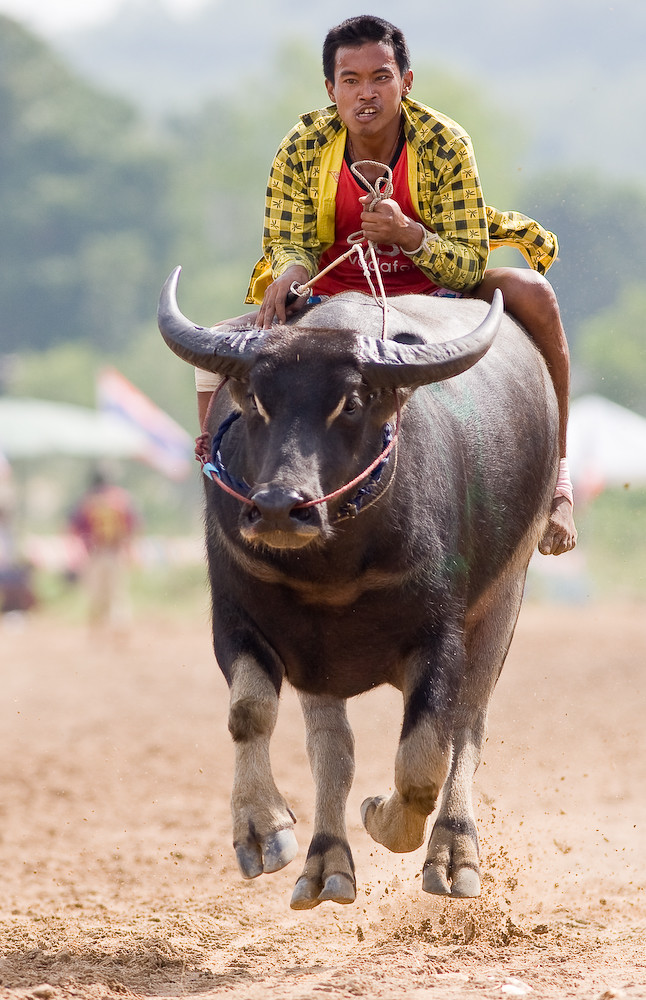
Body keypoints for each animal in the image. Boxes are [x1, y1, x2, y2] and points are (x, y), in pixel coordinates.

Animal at [158, 266, 558, 909]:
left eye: (349, 403)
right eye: (257, 402)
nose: (278, 506)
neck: (333, 570)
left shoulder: (440, 635)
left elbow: (422, 760)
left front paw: (383, 818)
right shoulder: (238, 618)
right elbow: (250, 714)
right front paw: (261, 829)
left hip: (506, 595)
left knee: (468, 727)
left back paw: (454, 851)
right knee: (333, 750)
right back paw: (326, 864)